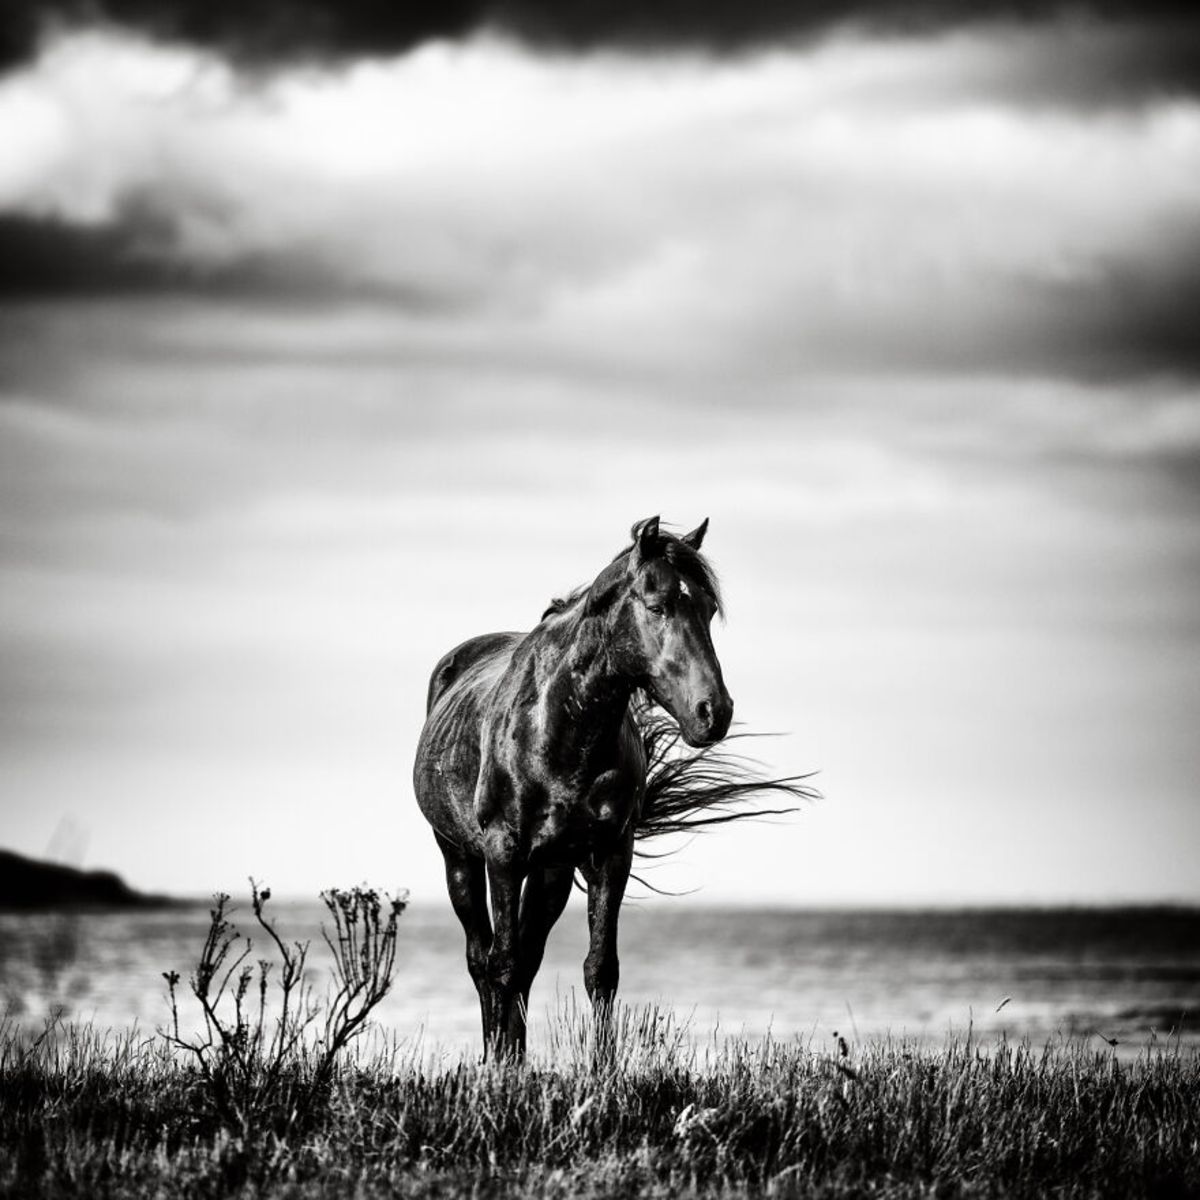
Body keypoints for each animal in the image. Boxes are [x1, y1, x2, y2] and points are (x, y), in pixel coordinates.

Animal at [412, 511, 816, 1056]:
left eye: (709, 609)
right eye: (657, 605)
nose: (714, 712)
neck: (559, 730)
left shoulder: (609, 854)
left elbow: (599, 969)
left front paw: (598, 1067)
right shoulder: (504, 852)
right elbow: (502, 964)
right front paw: (499, 1064)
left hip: (553, 871)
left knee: (528, 958)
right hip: (459, 856)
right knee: (484, 960)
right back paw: (498, 1052)